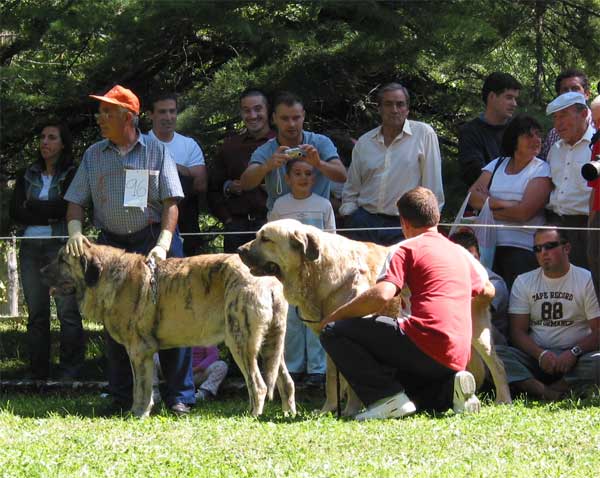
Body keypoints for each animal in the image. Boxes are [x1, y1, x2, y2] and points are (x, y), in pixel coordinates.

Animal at [41, 245, 296, 416]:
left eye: (62, 260)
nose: (41, 271)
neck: (107, 277)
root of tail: (269, 281)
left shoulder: (138, 350)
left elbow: (141, 387)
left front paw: (138, 413)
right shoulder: (144, 353)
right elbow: (142, 386)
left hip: (240, 341)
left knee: (259, 385)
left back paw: (252, 416)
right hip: (273, 346)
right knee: (286, 382)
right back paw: (287, 414)